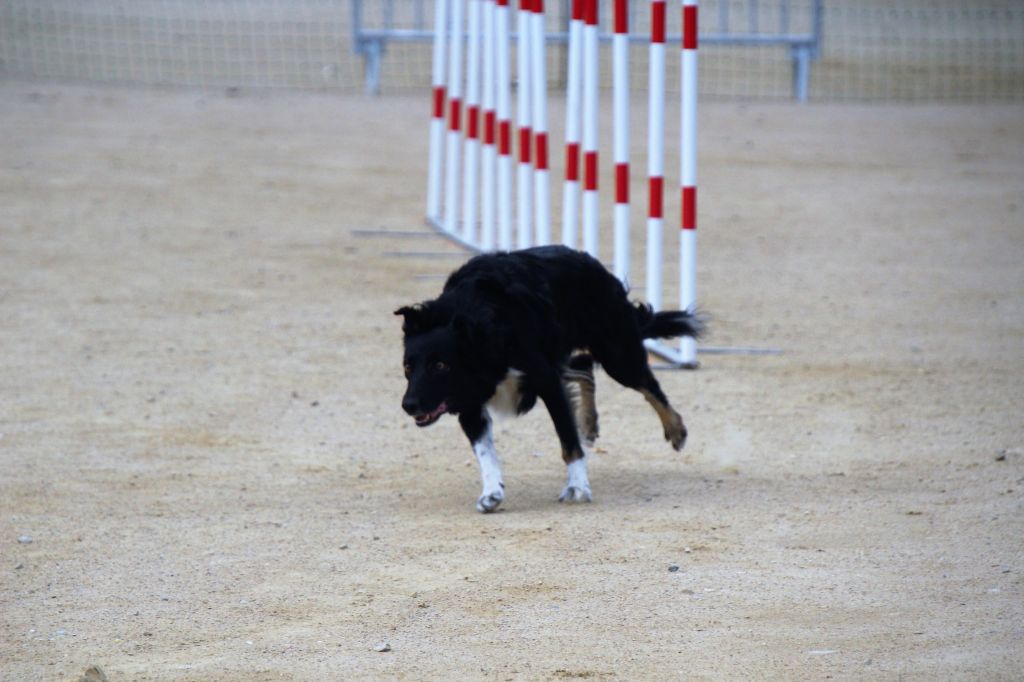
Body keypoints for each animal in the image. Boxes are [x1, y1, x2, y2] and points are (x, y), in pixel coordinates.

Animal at [393, 244, 704, 509]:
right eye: (408, 367)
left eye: (440, 366)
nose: (409, 405)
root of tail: (594, 265)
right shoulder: (469, 400)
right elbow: (485, 452)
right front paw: (492, 492)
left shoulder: (546, 380)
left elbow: (568, 440)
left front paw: (577, 486)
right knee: (583, 366)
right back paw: (588, 423)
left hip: (617, 355)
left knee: (648, 385)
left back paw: (676, 430)